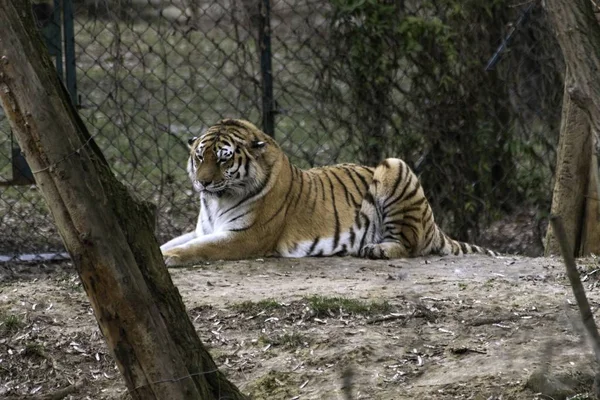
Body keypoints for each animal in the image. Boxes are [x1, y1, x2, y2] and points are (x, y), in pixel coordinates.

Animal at [161, 119, 496, 268]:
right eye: (199, 157)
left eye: (224, 159)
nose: (203, 183)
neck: (214, 201)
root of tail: (434, 225)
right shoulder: (204, 228)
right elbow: (176, 240)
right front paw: (162, 250)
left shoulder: (245, 236)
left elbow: (200, 248)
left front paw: (168, 258)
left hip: (395, 165)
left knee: (411, 246)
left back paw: (377, 249)